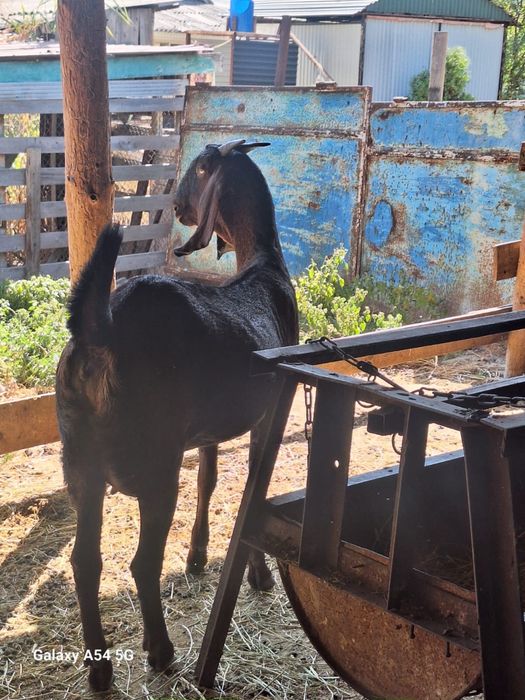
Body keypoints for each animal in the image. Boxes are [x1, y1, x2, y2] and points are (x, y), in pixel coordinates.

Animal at [55, 139, 298, 691]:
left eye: (197, 169)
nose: (177, 206)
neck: (263, 265)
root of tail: (102, 334)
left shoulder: (208, 428)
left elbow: (210, 479)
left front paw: (198, 556)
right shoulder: (270, 413)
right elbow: (253, 487)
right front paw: (259, 575)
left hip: (81, 464)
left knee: (85, 561)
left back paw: (99, 670)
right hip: (156, 463)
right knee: (142, 563)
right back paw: (160, 652)